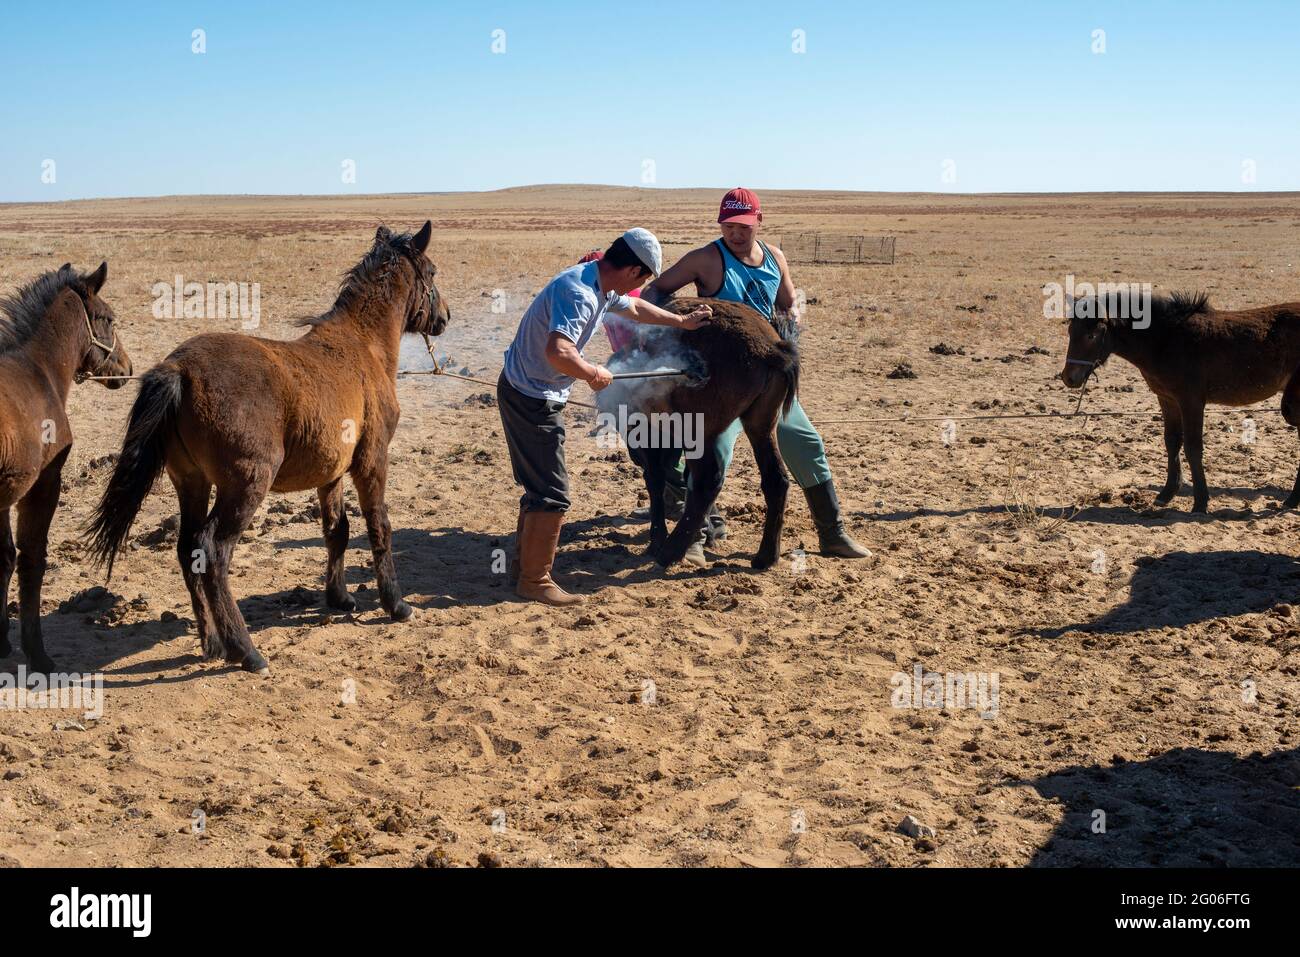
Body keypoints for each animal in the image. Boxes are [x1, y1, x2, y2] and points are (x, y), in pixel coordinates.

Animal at [0, 261, 131, 670]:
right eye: (108, 318)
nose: (127, 367)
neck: (37, 372)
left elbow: (4, 558)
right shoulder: (44, 484)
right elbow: (32, 559)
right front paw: (36, 652)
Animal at [86, 223, 452, 670]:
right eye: (431, 272)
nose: (444, 317)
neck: (363, 346)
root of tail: (179, 369)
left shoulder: (330, 475)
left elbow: (337, 531)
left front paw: (340, 598)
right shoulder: (371, 461)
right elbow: (378, 526)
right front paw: (396, 605)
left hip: (191, 483)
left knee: (187, 549)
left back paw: (212, 642)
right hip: (245, 485)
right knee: (213, 551)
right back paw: (245, 650)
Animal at [600, 299, 800, 566]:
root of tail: (770, 348)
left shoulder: (650, 439)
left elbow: (655, 481)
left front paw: (657, 539)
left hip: (699, 431)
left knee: (706, 482)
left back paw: (670, 552)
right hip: (761, 426)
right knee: (776, 480)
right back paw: (765, 556)